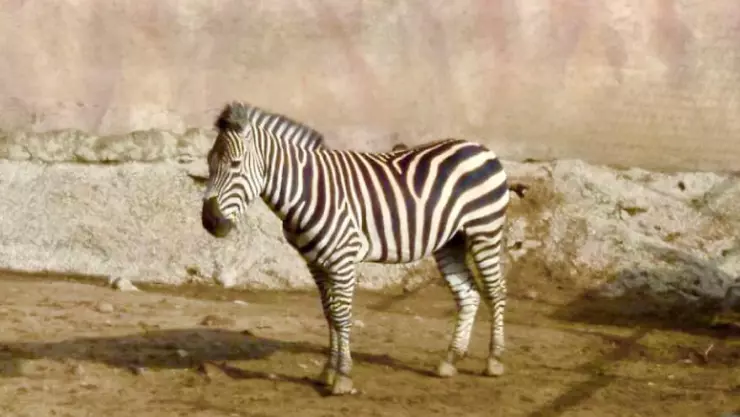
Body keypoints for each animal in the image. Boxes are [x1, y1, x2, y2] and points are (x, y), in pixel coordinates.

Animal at [201, 102, 511, 395]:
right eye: (208, 163)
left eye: (235, 164)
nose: (209, 221)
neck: (308, 191)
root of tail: (479, 147)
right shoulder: (315, 262)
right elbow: (329, 314)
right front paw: (328, 371)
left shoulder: (343, 258)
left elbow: (341, 315)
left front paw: (343, 377)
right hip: (451, 241)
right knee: (468, 295)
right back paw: (451, 360)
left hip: (485, 232)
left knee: (496, 290)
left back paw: (495, 360)